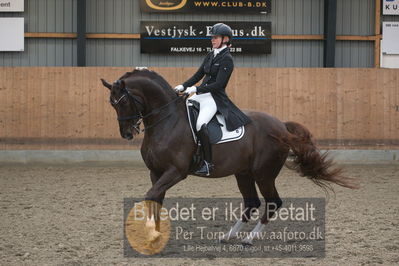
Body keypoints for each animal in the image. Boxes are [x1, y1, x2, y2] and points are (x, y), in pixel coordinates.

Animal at [102, 67, 360, 244]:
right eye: (111, 104)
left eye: (123, 102)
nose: (127, 133)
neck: (167, 121)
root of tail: (281, 126)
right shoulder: (155, 172)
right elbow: (155, 198)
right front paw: (154, 234)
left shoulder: (176, 172)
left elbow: (150, 195)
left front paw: (152, 233)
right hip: (243, 173)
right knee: (252, 203)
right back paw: (228, 236)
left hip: (264, 173)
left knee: (273, 202)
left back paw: (250, 239)